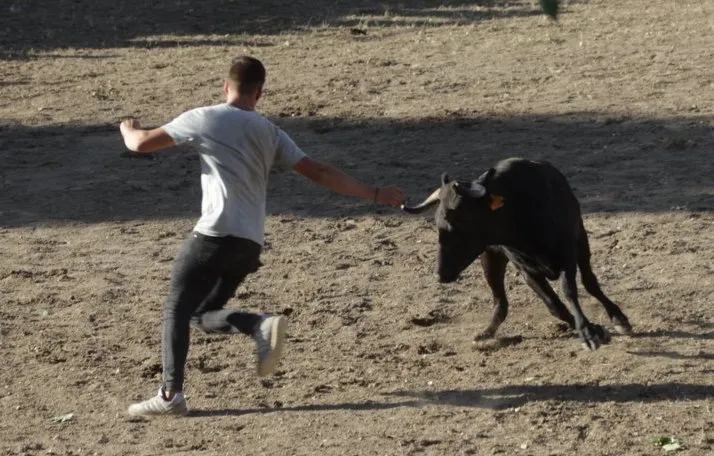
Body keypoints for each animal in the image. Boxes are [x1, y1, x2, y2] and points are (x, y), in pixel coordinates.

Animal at [402, 157, 632, 350]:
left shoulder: (567, 254)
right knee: (500, 302)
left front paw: (588, 333)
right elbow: (554, 305)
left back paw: (618, 318)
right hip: (490, 258)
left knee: (590, 282)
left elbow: (569, 291)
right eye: (438, 222)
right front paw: (591, 328)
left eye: (460, 221)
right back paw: (487, 332)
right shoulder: (525, 268)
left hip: (581, 241)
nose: (440, 275)